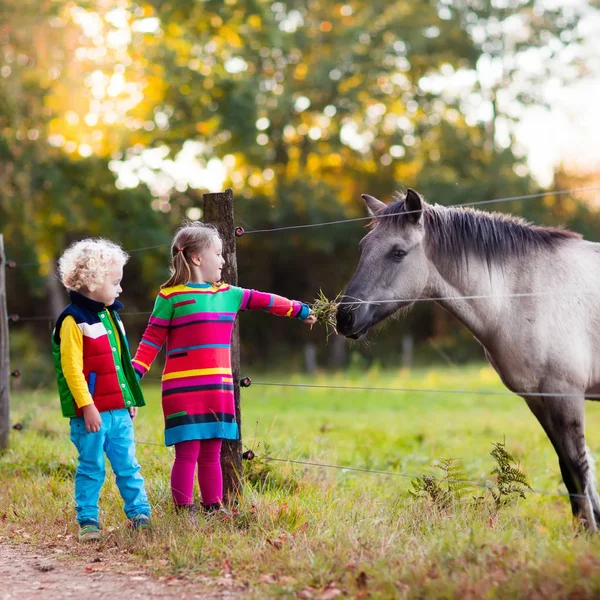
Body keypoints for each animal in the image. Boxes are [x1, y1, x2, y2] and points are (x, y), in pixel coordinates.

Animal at [336, 189, 600, 528]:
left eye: (398, 253)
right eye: (363, 247)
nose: (345, 317)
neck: (526, 295)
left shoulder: (565, 396)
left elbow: (579, 472)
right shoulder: (539, 399)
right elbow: (572, 471)